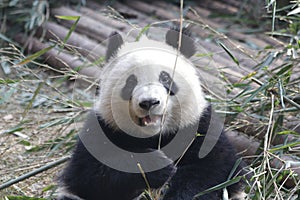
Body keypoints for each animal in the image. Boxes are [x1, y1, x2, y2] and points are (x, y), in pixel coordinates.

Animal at [56, 27, 246, 199]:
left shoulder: (200, 126)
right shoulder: (102, 129)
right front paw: (157, 164)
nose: (149, 102)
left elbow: (214, 172)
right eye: (130, 82)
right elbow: (89, 176)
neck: (154, 136)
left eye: (165, 78)